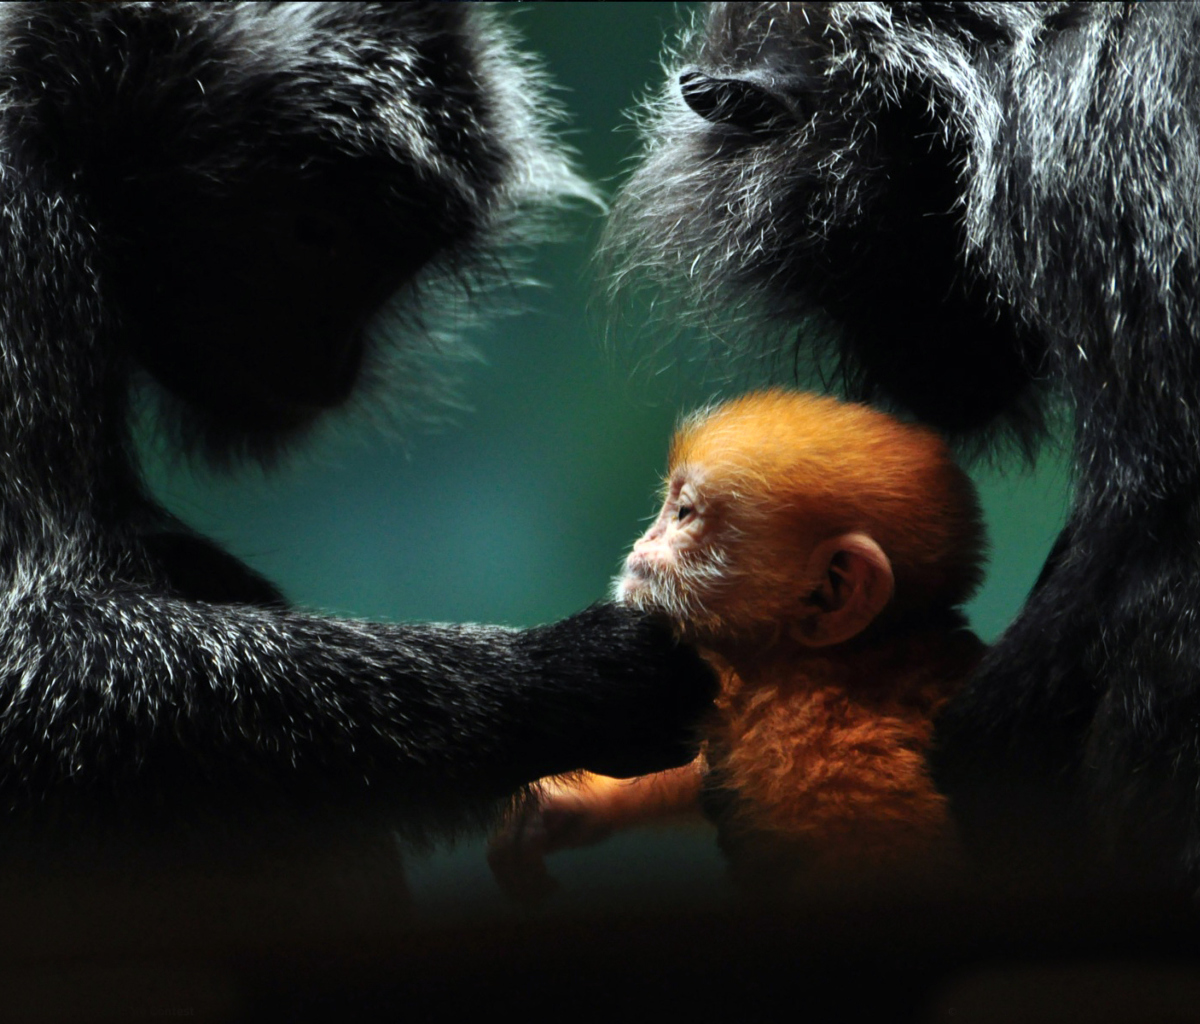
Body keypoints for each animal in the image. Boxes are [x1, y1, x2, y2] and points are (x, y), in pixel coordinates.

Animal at [0, 0, 710, 845]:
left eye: (399, 259)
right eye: (320, 234)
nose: (335, 361)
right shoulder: (17, 214)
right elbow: (36, 656)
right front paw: (567, 676)